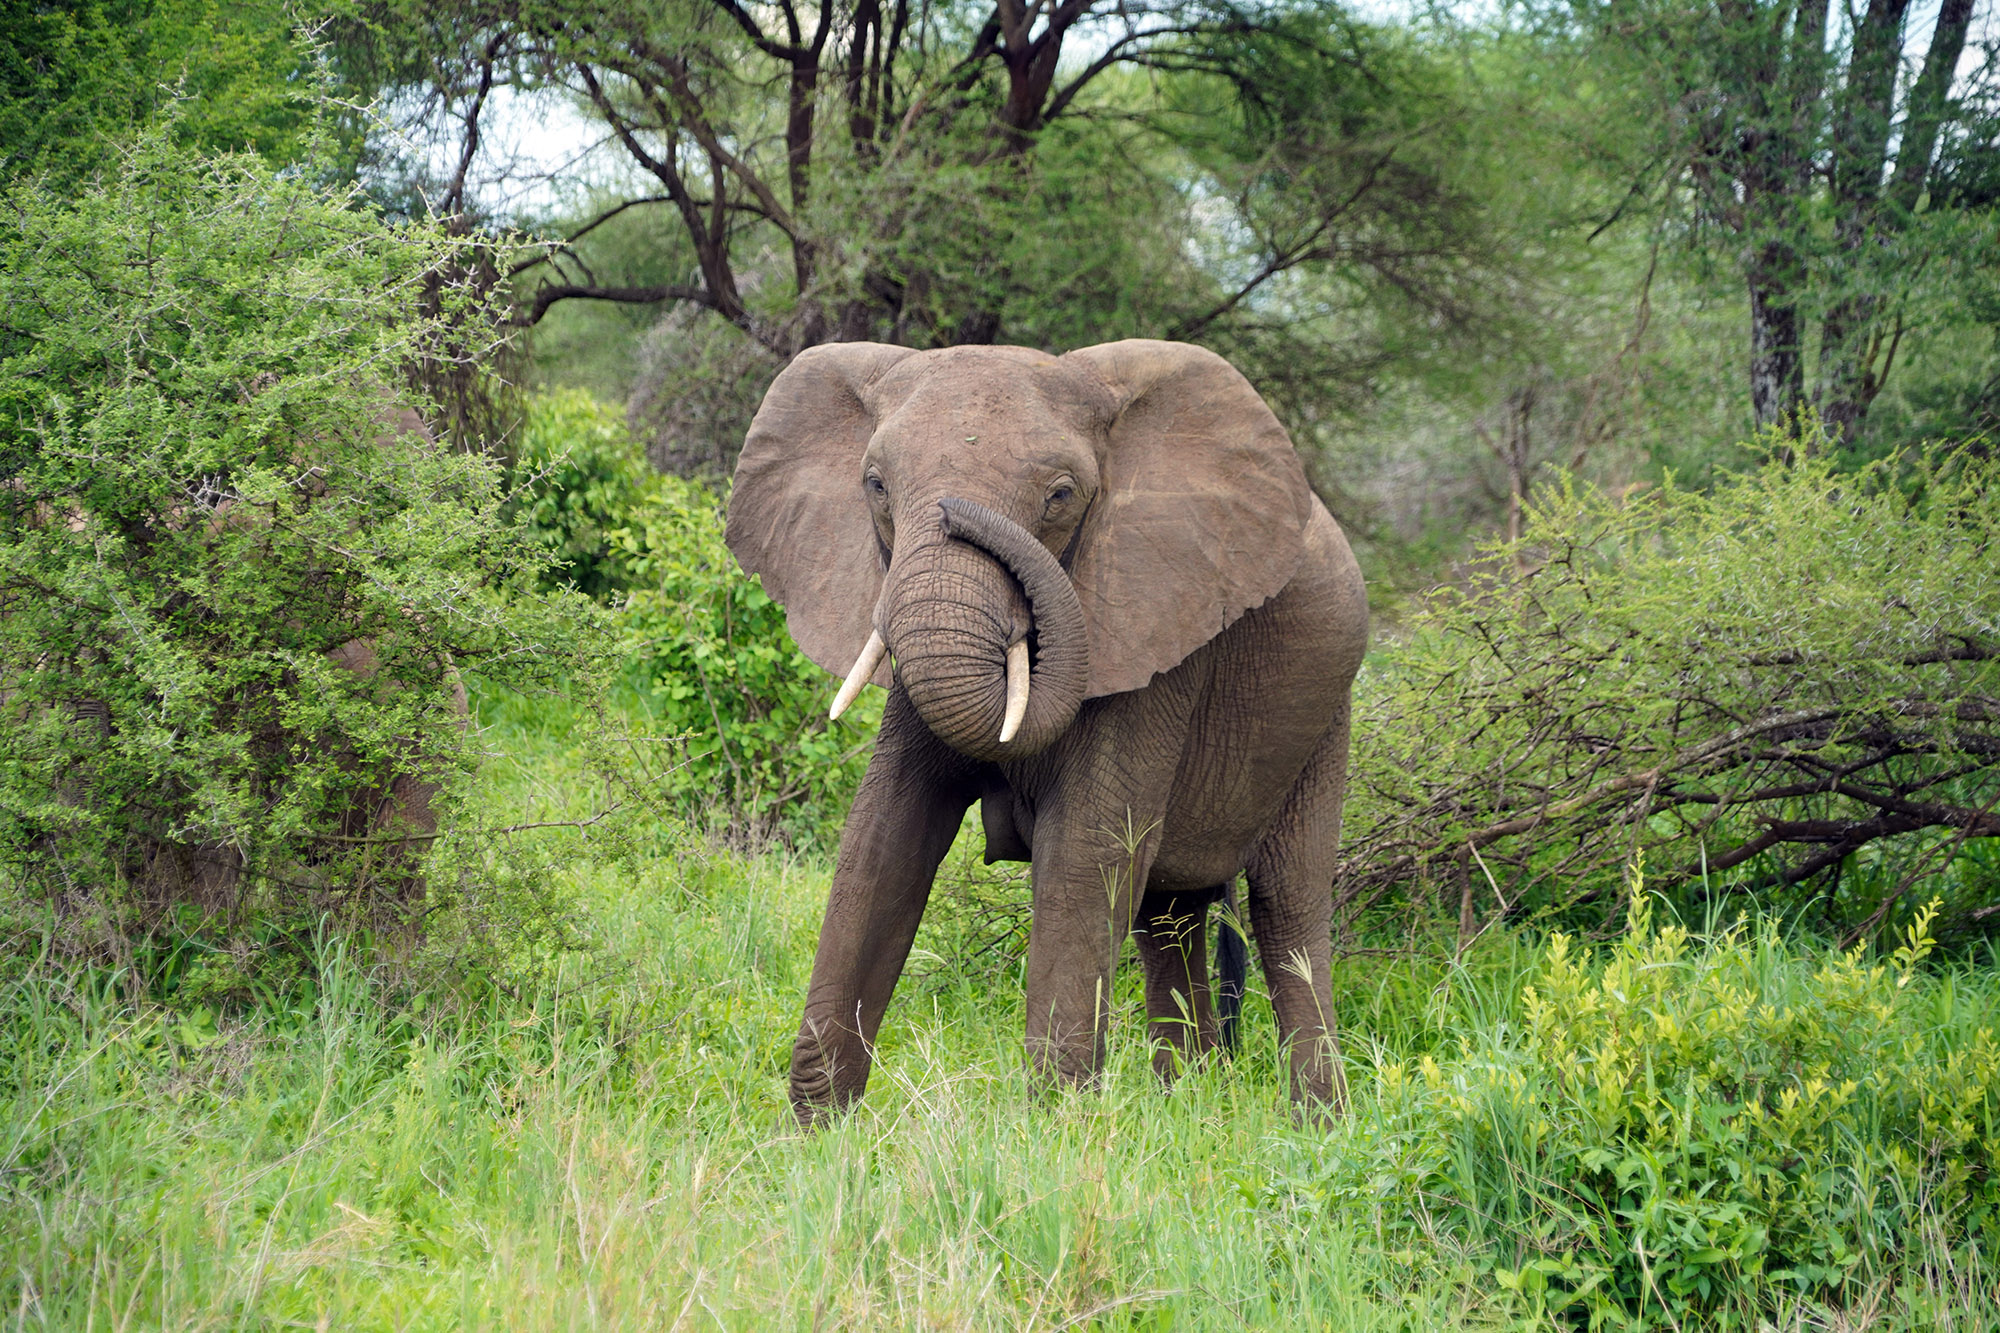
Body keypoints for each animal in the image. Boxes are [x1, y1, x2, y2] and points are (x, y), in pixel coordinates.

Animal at [724, 339, 1368, 1122]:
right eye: (876, 485)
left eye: (1060, 497)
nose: (956, 511)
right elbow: (885, 836)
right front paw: (820, 1132)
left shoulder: (1152, 623)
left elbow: (1085, 851)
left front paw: (1053, 1128)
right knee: (1170, 915)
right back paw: (1183, 1107)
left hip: (1326, 709)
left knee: (1287, 902)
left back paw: (1318, 1124)